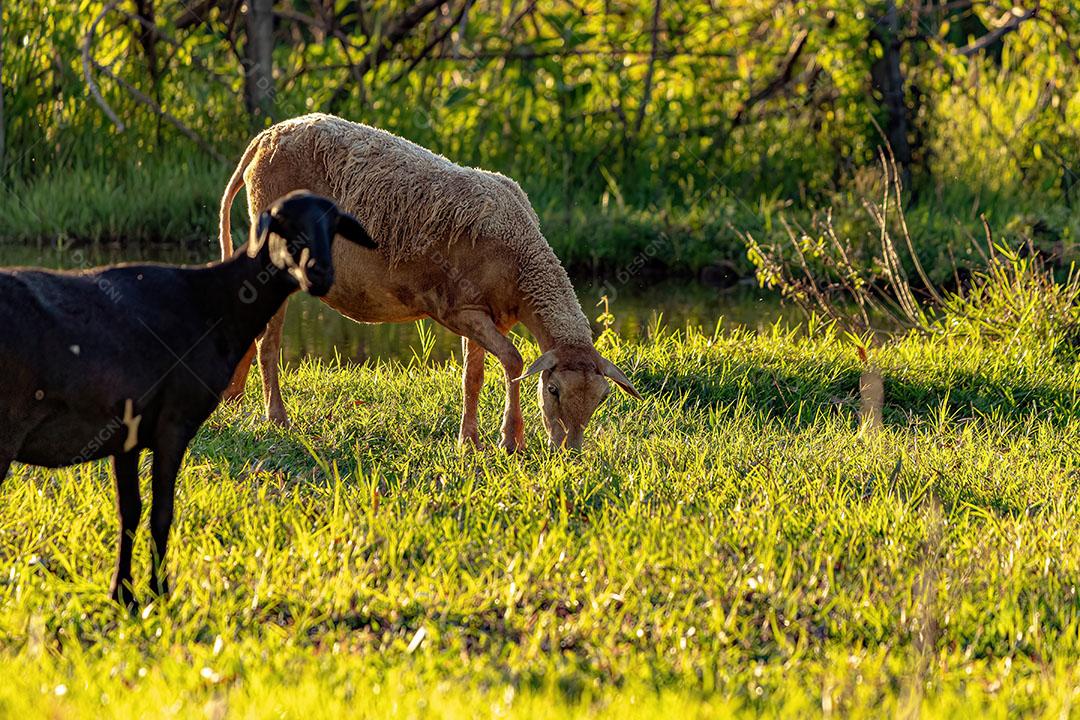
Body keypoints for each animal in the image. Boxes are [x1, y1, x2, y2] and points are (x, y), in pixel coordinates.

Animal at [0, 191, 375, 608]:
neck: (217, 303)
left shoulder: (126, 434)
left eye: (334, 227)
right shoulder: (173, 423)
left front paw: (123, 595)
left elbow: (129, 513)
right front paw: (159, 594)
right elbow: (162, 513)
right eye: (284, 225)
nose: (319, 274)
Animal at [220, 112, 639, 451]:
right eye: (552, 390)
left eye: (602, 398)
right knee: (269, 341)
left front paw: (469, 440)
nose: (571, 450)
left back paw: (232, 398)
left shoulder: (486, 315)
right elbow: (514, 361)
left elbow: (474, 376)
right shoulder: (458, 309)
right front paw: (510, 439)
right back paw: (276, 418)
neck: (522, 258)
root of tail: (267, 135)